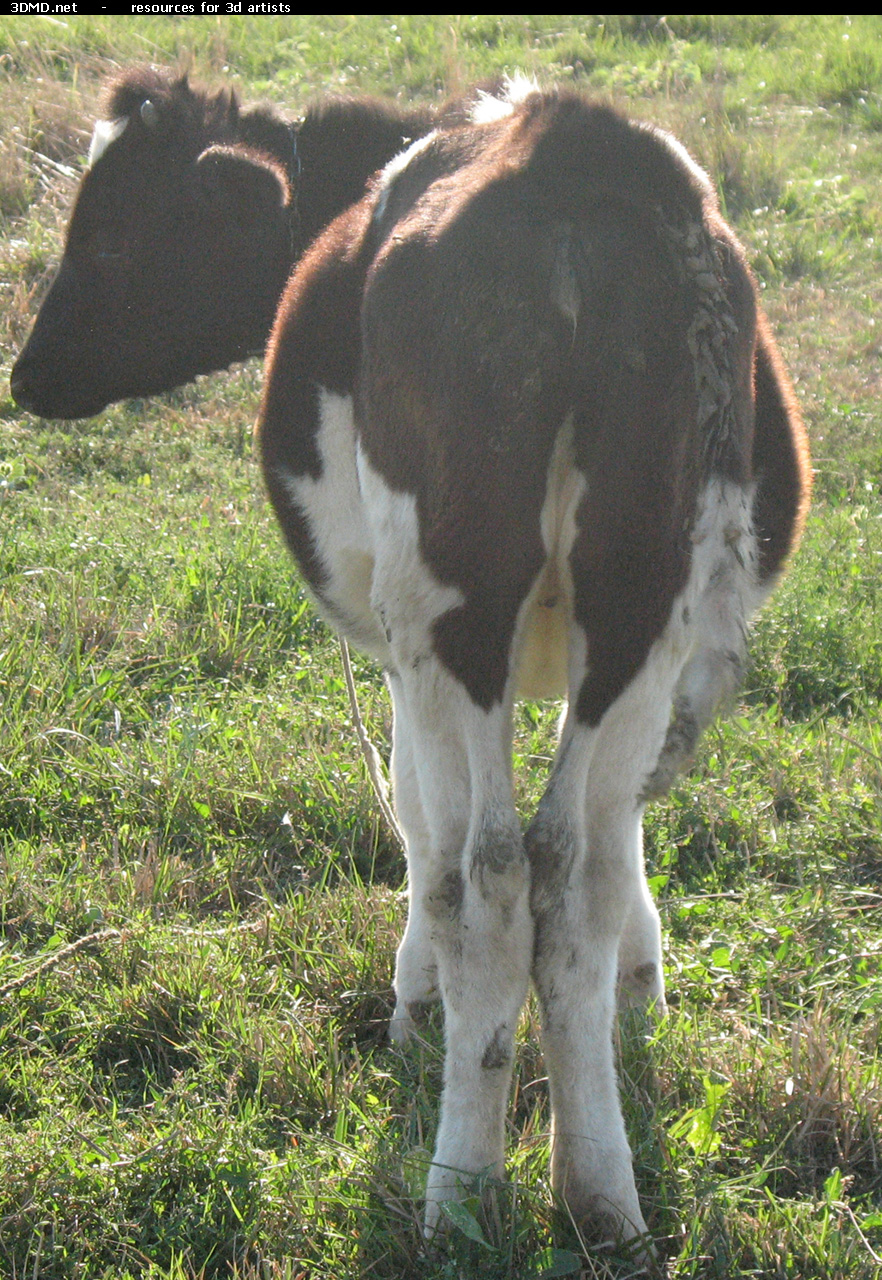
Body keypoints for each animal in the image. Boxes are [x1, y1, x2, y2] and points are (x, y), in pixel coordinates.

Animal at [258, 85, 809, 1244]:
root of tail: (578, 149)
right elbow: (619, 834)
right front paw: (644, 992)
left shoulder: (402, 657)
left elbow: (422, 825)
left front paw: (412, 1005)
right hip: (643, 591)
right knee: (572, 873)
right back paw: (601, 1190)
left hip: (451, 596)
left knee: (491, 874)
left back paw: (460, 1191)